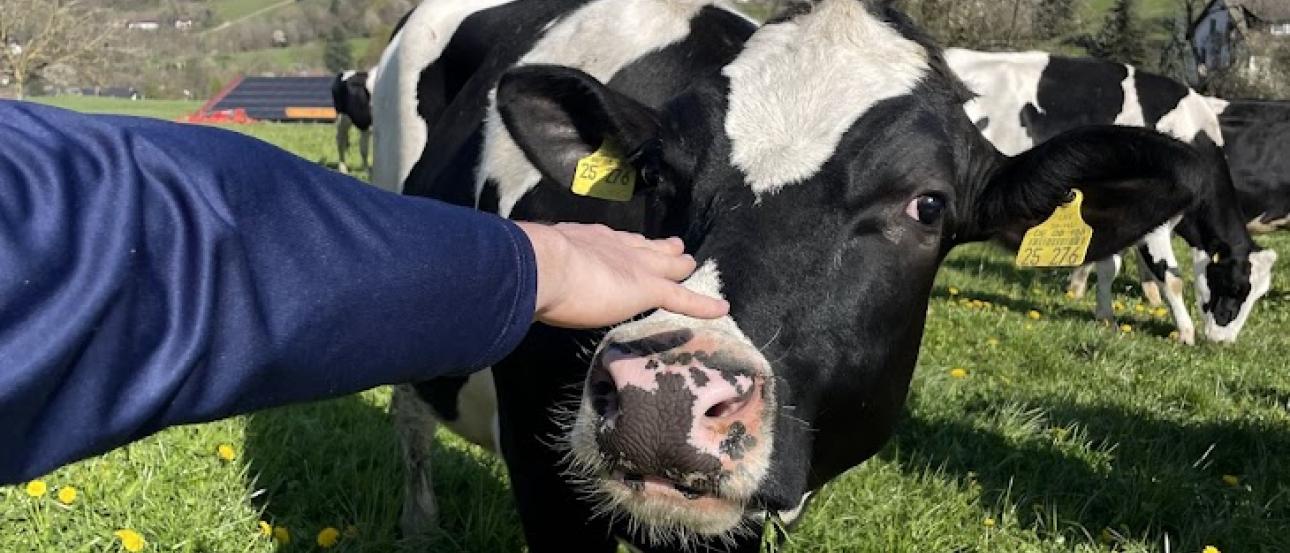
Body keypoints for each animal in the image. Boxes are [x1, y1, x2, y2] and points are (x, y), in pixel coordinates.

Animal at [371, 1, 1209, 551]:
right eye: (657, 172)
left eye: (928, 205)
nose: (663, 396)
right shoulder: (543, 474)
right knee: (409, 417)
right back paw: (419, 521)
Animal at [946, 49, 1278, 345]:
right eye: (1234, 286)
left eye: (1258, 295)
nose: (1223, 341)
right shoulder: (1153, 225)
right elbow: (1170, 277)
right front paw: (1185, 333)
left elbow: (1109, 267)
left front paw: (1105, 317)